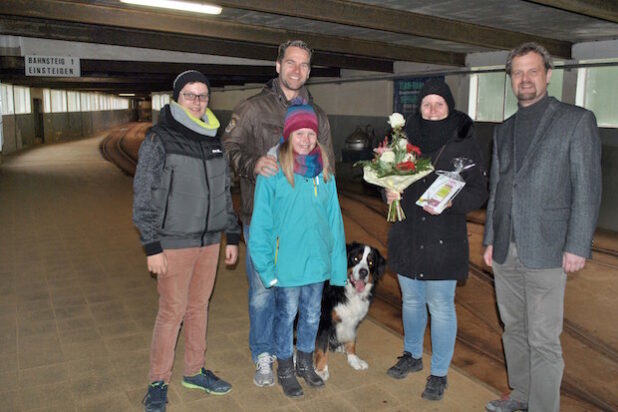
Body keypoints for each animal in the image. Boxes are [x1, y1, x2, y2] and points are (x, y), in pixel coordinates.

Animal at [316, 241, 382, 380]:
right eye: (355, 258)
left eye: (371, 262)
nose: (363, 272)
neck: (349, 291)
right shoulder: (324, 321)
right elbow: (322, 347)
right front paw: (321, 370)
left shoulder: (353, 320)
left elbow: (352, 340)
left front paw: (354, 359)